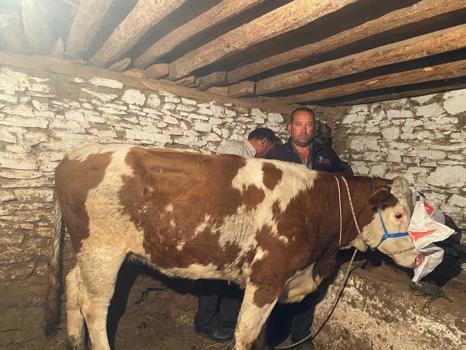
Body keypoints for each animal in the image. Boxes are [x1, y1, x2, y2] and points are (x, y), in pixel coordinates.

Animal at [44, 144, 422, 348]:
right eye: (399, 214)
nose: (418, 257)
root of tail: (71, 156)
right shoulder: (267, 276)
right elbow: (246, 334)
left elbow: (263, 334)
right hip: (103, 250)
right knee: (94, 307)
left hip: (88, 251)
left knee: (73, 285)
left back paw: (74, 342)